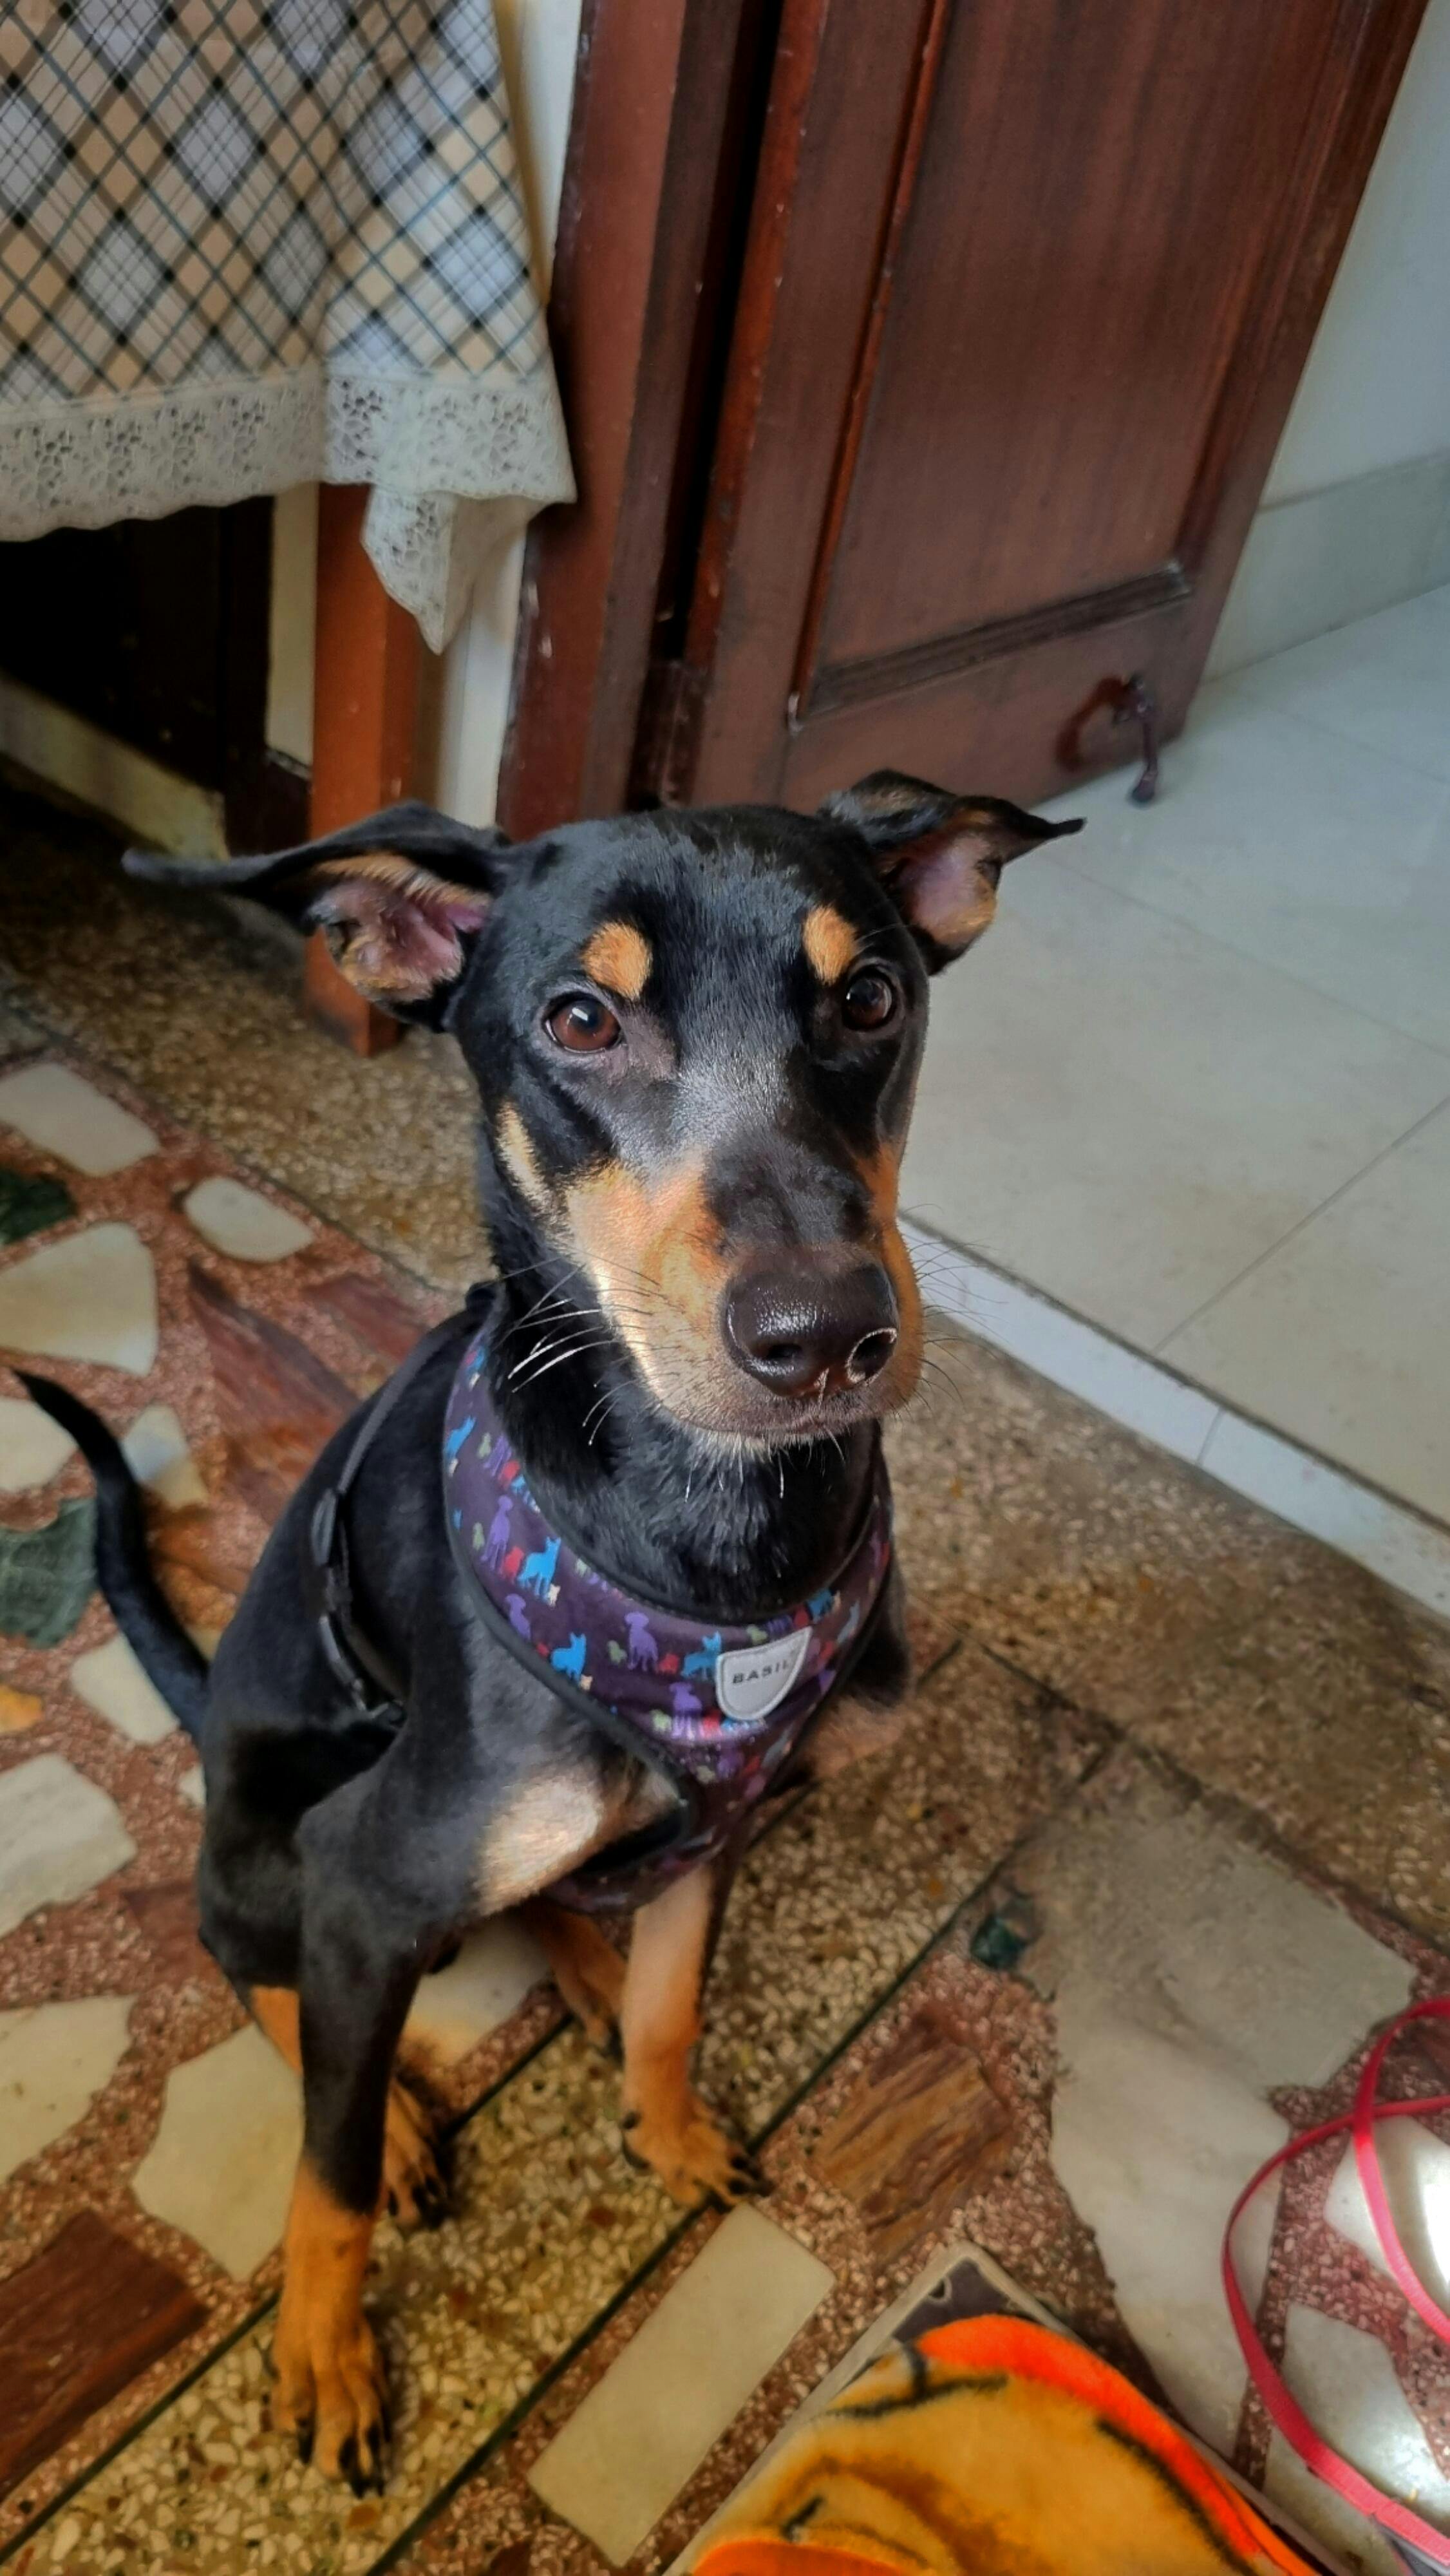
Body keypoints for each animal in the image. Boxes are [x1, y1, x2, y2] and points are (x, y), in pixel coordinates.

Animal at [24, 770, 1077, 2492]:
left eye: (869, 996)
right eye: (580, 1018)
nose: (823, 1336)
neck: (715, 1551)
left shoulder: (730, 1814)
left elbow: (671, 1999)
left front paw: (666, 2118)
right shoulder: (369, 1871)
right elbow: (318, 2174)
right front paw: (324, 2351)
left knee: (549, 1901)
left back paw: (573, 1952)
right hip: (267, 1837)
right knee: (255, 1963)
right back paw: (392, 2104)